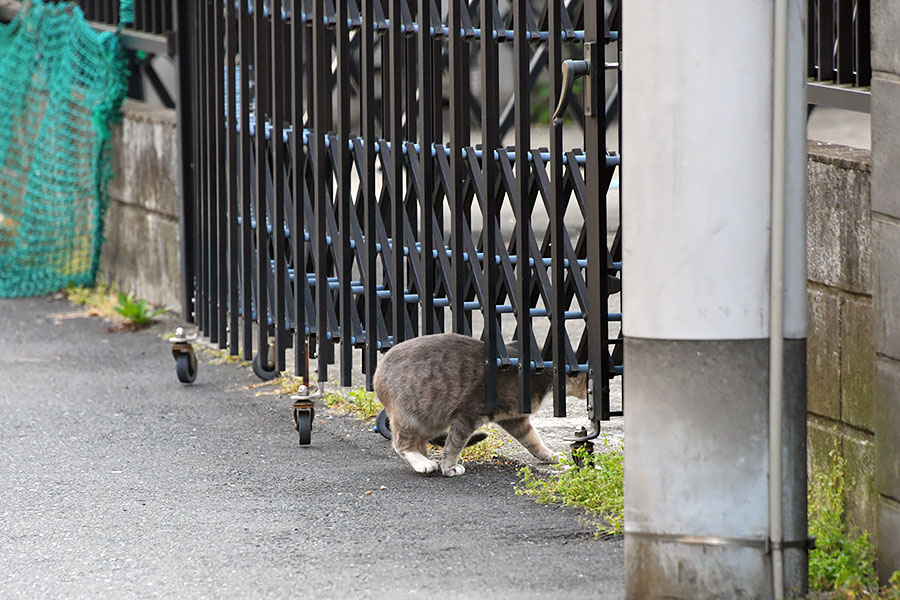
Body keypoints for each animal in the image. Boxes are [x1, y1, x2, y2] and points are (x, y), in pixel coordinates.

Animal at [372, 330, 592, 476]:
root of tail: (377, 371)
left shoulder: (515, 418)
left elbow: (533, 440)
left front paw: (549, 455)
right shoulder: (467, 414)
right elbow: (454, 443)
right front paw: (449, 467)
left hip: (432, 418)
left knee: (420, 440)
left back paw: (425, 459)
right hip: (409, 415)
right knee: (401, 443)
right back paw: (421, 462)